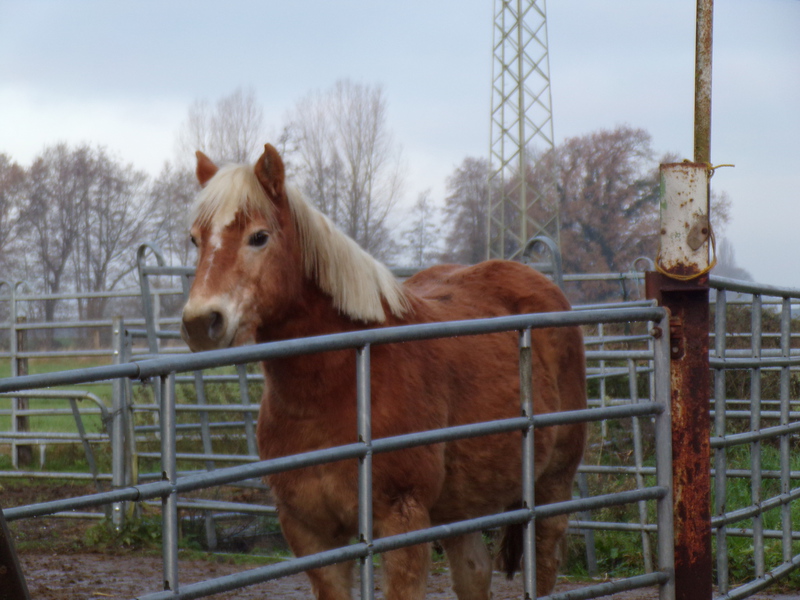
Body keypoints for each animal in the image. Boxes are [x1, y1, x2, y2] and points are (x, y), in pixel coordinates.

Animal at [181, 144, 587, 599]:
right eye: (195, 238)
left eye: (259, 237)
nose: (201, 322)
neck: (337, 386)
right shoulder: (309, 532)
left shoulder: (402, 522)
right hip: (460, 503)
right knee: (474, 570)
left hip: (552, 485)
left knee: (546, 561)